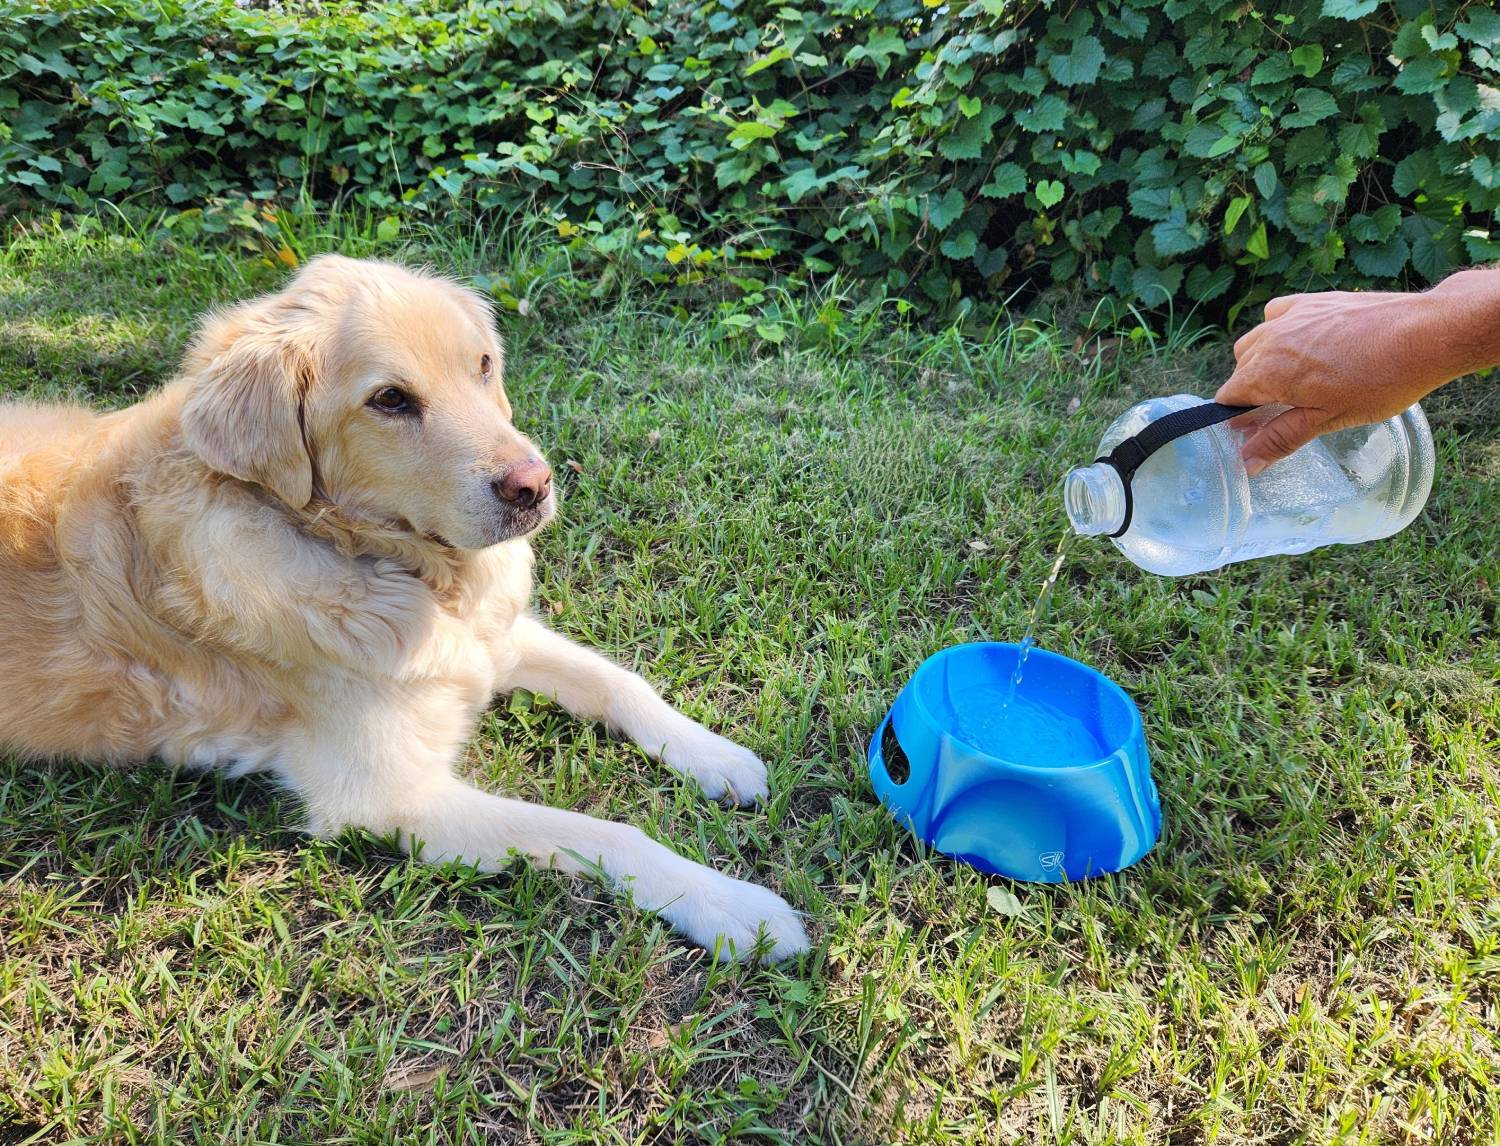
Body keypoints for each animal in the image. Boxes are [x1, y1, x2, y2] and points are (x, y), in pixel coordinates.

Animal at [2, 255, 810, 960]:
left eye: (482, 365)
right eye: (389, 400)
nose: (535, 485)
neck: (394, 567)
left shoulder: (488, 639)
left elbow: (619, 681)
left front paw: (716, 756)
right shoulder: (391, 797)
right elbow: (606, 831)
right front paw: (734, 905)